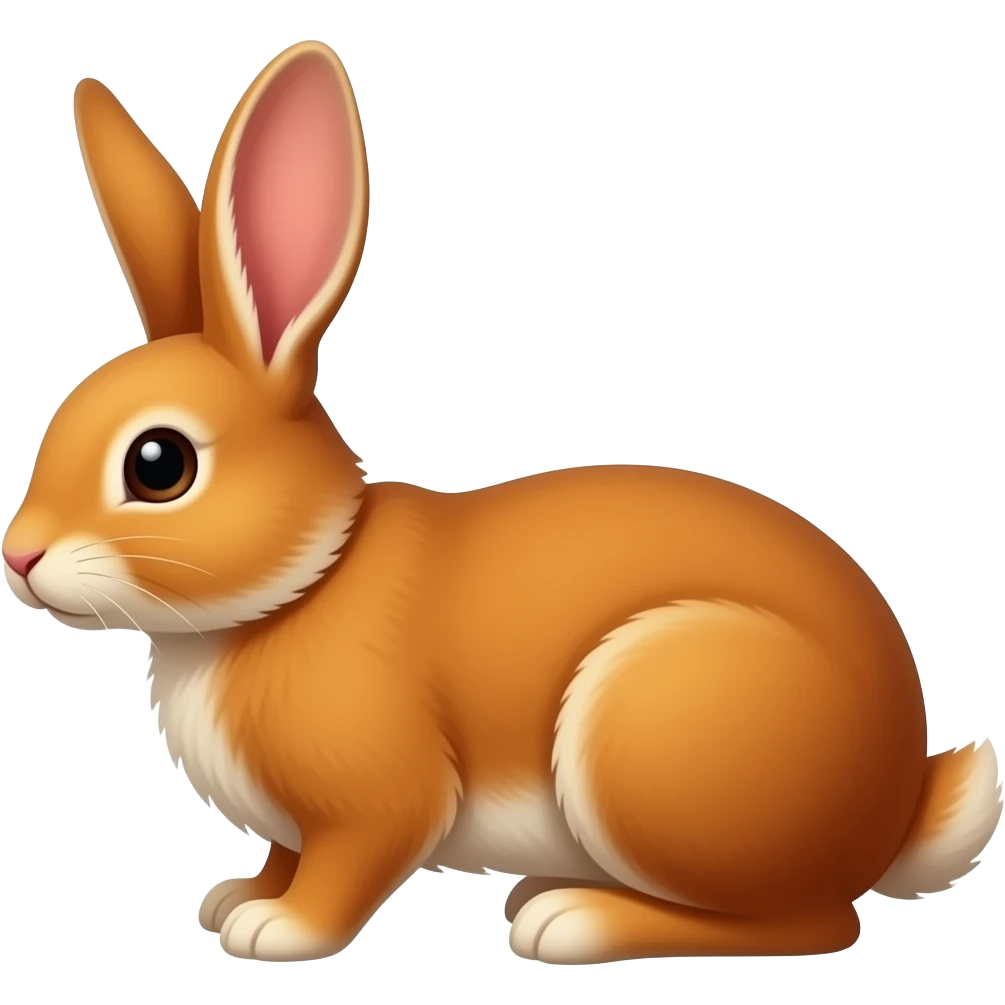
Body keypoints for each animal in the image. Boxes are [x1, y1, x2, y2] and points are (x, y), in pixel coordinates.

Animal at [2, 40, 999, 965]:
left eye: (158, 464)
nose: (20, 555)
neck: (307, 577)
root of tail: (894, 804)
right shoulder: (296, 823)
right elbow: (285, 855)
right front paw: (237, 896)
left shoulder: (377, 801)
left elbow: (347, 866)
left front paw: (277, 928)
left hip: (649, 732)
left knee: (811, 922)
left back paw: (573, 919)